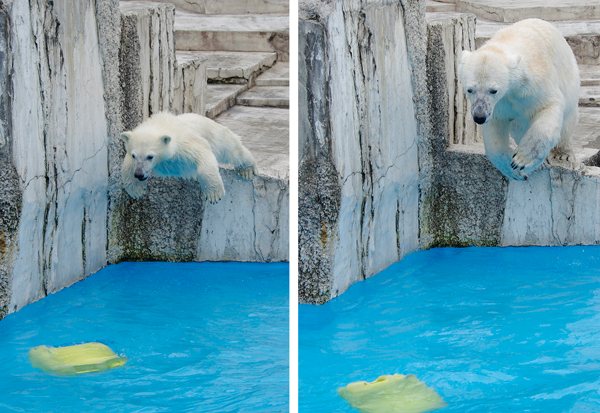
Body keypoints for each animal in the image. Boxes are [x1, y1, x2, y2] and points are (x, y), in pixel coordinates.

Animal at [119, 112, 255, 202]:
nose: (139, 174)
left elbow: (202, 153)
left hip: (217, 135)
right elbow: (127, 164)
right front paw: (136, 191)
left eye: (150, 156)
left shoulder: (185, 143)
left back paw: (247, 169)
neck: (164, 124)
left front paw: (214, 194)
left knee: (233, 150)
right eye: (134, 155)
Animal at [458, 18, 580, 180]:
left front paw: (522, 160)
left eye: (493, 90)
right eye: (470, 89)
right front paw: (515, 171)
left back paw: (561, 154)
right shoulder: (498, 105)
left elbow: (548, 107)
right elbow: (495, 131)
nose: (479, 117)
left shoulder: (532, 84)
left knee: (567, 123)